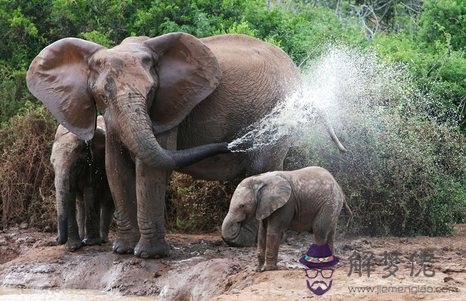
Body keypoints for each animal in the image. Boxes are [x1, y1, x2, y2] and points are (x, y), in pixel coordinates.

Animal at [50, 115, 114, 251]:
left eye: (77, 163)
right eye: (52, 165)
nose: (57, 239)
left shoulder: (96, 163)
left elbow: (91, 191)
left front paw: (91, 243)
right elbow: (70, 196)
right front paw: (73, 247)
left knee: (108, 202)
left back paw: (102, 240)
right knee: (81, 204)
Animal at [220, 165, 352, 270]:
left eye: (242, 206)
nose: (237, 224)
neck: (261, 179)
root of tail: (339, 188)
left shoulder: (286, 204)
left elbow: (273, 231)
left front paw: (268, 269)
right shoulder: (265, 205)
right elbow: (262, 232)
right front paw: (258, 270)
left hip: (329, 203)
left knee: (320, 231)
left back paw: (317, 266)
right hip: (333, 206)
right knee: (330, 233)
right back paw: (330, 264)